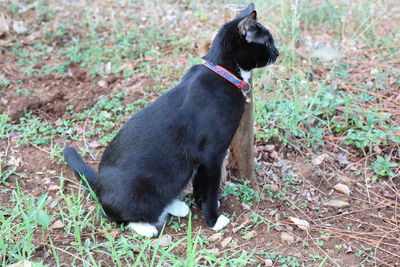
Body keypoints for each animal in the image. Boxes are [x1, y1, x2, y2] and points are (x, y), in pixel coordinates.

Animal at [64, 3, 280, 238]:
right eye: (267, 42)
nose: (278, 53)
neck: (224, 72)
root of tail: (98, 183)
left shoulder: (202, 160)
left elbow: (200, 185)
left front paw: (201, 204)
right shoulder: (212, 155)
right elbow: (210, 188)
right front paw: (212, 220)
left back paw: (176, 206)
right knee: (115, 215)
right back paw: (146, 226)